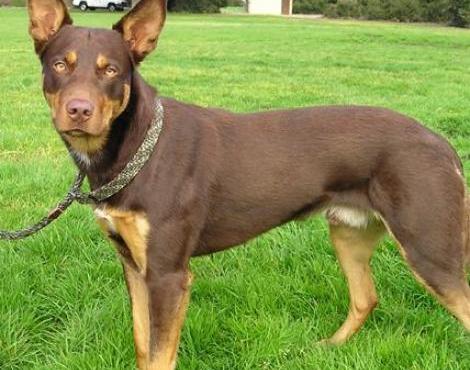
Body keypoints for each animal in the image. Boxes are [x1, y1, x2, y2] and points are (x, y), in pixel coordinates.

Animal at [26, 0, 470, 368]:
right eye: (60, 65)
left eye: (111, 70)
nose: (78, 111)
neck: (135, 148)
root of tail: (443, 145)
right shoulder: (134, 265)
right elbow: (141, 345)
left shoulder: (169, 274)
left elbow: (158, 356)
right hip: (349, 232)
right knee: (365, 298)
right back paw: (329, 347)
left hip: (429, 249)